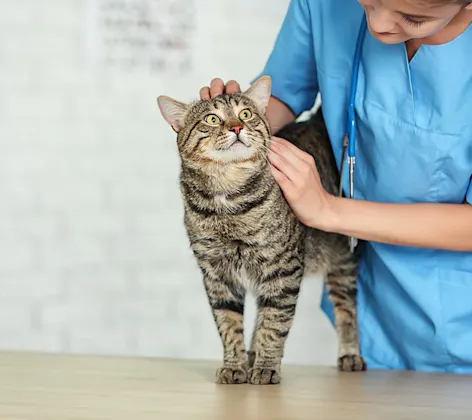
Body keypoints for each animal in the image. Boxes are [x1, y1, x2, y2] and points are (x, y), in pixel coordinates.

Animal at [158, 75, 366, 384]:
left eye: (245, 114)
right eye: (212, 119)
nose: (236, 127)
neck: (227, 199)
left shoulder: (283, 268)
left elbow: (275, 322)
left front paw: (267, 367)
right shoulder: (217, 275)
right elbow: (229, 325)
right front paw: (235, 365)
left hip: (343, 260)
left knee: (346, 309)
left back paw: (350, 355)